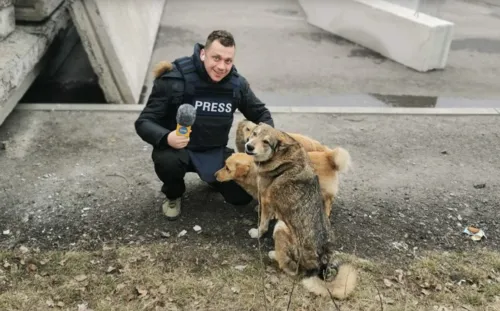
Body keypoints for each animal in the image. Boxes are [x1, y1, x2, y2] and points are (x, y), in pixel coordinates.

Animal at [244, 122, 358, 300]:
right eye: (254, 134)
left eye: (266, 142)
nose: (249, 146)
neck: (280, 155)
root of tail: (319, 265)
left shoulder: (266, 199)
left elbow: (263, 223)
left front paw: (257, 233)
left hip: (281, 227)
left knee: (289, 267)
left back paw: (273, 254)